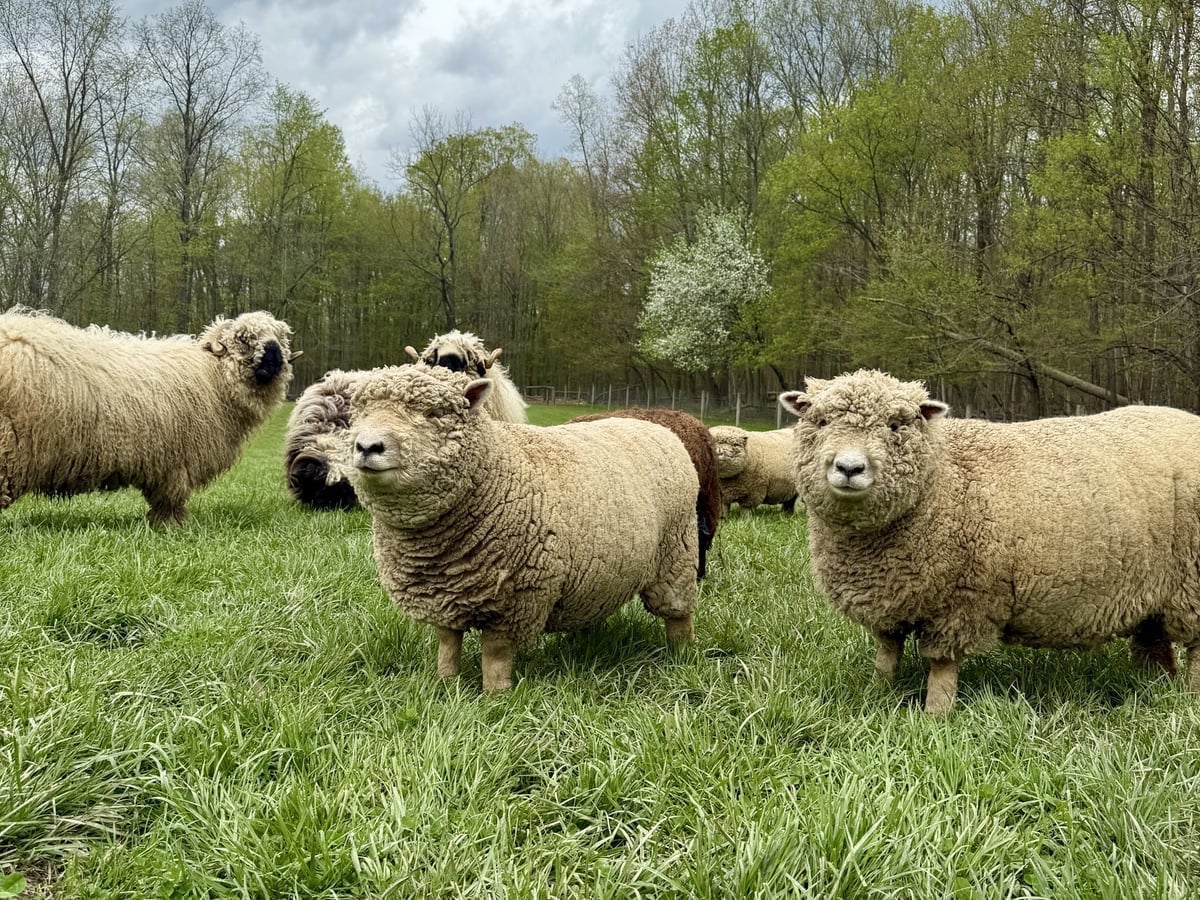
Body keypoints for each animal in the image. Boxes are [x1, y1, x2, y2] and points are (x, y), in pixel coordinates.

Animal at [0, 307, 296, 524]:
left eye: (280, 340)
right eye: (244, 339)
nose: (274, 360)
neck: (213, 375)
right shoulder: (178, 463)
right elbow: (171, 498)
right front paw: (172, 525)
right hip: (8, 443)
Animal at [343, 364, 699, 691]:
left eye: (434, 413)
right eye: (359, 414)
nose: (367, 447)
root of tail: (655, 427)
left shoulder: (516, 598)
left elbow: (495, 654)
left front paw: (496, 696)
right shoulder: (440, 595)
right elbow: (447, 643)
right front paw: (444, 684)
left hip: (677, 554)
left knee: (678, 615)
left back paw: (681, 655)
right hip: (602, 571)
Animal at [779, 368, 1200, 714]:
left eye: (896, 425)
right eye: (819, 421)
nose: (849, 468)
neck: (940, 478)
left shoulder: (961, 601)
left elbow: (942, 666)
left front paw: (935, 715)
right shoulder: (891, 598)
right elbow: (887, 652)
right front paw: (876, 693)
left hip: (1192, 579)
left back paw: (1188, 697)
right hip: (1152, 586)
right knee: (1154, 642)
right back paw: (1151, 685)